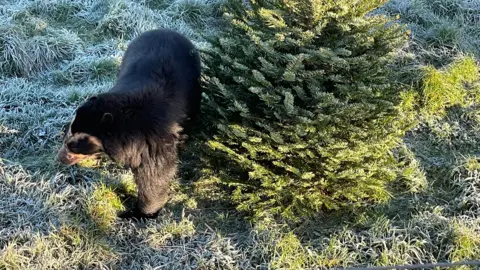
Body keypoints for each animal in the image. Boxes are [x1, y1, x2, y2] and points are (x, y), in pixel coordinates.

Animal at [56, 28, 202, 219]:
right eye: (68, 134)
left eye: (74, 145)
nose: (59, 158)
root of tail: (165, 30)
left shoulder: (154, 142)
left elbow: (156, 174)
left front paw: (140, 213)